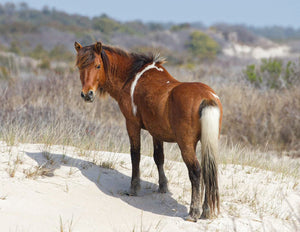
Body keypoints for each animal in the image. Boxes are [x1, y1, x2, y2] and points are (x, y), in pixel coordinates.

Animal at [74, 41, 221, 221]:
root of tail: (207, 97)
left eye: (97, 65)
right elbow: (159, 157)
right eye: (79, 66)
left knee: (196, 171)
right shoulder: (156, 132)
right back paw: (206, 210)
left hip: (186, 145)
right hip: (207, 142)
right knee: (208, 170)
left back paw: (194, 212)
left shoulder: (132, 124)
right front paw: (163, 186)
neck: (132, 77)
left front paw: (134, 187)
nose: (87, 94)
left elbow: (135, 154)